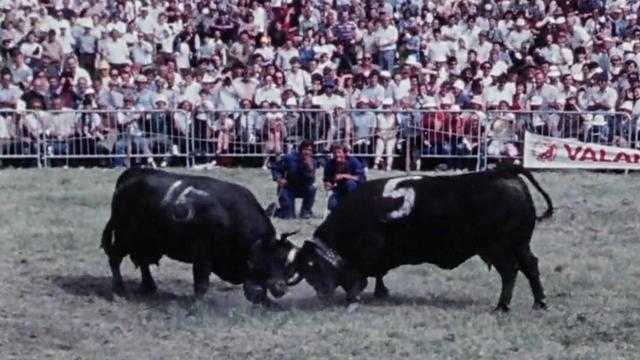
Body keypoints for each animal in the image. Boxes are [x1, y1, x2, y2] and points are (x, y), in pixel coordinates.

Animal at [100, 167, 300, 306]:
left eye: (288, 262)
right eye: (275, 257)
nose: (281, 287)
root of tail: (129, 178)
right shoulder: (203, 255)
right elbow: (202, 283)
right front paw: (197, 304)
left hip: (146, 242)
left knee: (142, 261)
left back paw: (149, 287)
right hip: (125, 236)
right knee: (115, 258)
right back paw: (120, 290)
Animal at [292, 165, 556, 310]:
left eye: (312, 267)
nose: (322, 296)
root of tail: (506, 171)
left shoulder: (367, 255)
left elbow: (364, 276)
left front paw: (356, 297)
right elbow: (378, 274)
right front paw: (380, 292)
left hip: (499, 248)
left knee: (510, 272)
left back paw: (502, 306)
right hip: (520, 244)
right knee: (530, 267)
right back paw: (539, 303)